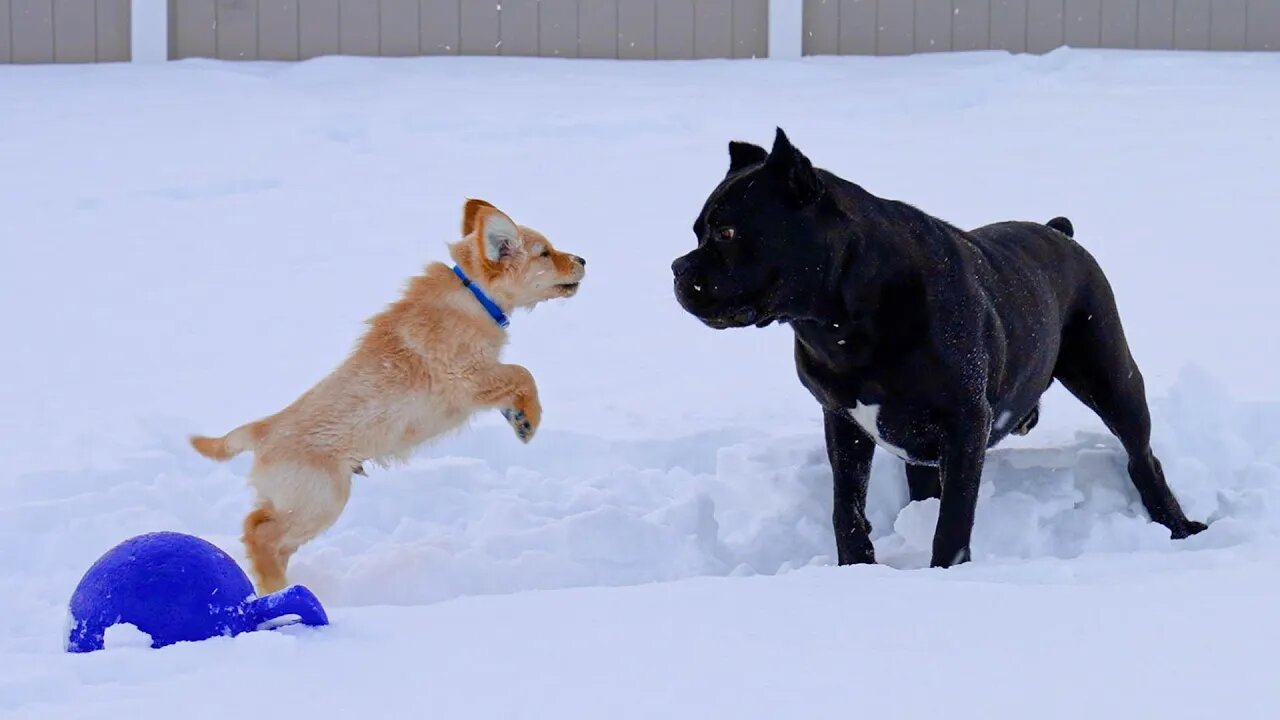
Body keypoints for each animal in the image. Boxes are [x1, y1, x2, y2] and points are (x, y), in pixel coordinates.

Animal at [186, 198, 586, 591]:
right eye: (545, 253)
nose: (583, 260)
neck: (473, 293)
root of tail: (262, 430)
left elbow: (515, 380)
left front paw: (517, 417)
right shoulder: (466, 377)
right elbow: (523, 373)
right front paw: (530, 420)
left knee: (263, 526)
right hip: (320, 497)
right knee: (261, 532)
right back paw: (275, 587)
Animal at [670, 128, 1208, 566]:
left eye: (728, 231)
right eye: (697, 231)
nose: (677, 267)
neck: (839, 321)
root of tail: (1061, 231)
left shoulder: (965, 424)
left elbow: (952, 523)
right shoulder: (843, 421)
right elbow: (846, 506)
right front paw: (857, 568)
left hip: (1112, 379)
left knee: (1142, 457)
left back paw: (1177, 526)